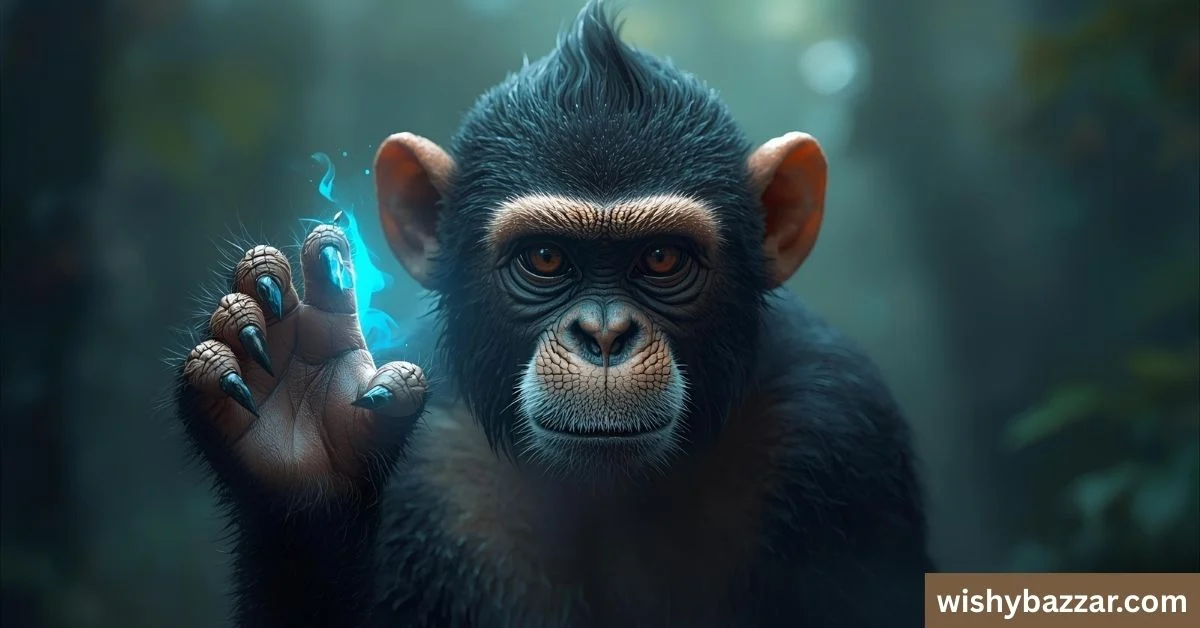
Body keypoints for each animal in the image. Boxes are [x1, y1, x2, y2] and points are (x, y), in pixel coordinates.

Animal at [175, 3, 933, 627]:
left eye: (662, 258)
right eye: (544, 258)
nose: (604, 334)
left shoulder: (841, 430)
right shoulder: (430, 473)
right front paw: (303, 425)